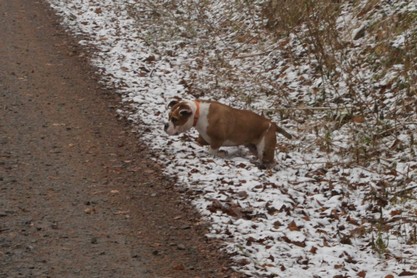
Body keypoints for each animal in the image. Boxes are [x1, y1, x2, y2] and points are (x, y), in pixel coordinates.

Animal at [161, 97, 290, 165]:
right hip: (253, 146)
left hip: (265, 149)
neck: (198, 114)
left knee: (269, 161)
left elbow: (211, 151)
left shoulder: (217, 140)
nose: (165, 125)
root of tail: (272, 124)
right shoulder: (205, 139)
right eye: (169, 116)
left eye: (175, 119)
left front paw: (221, 154)